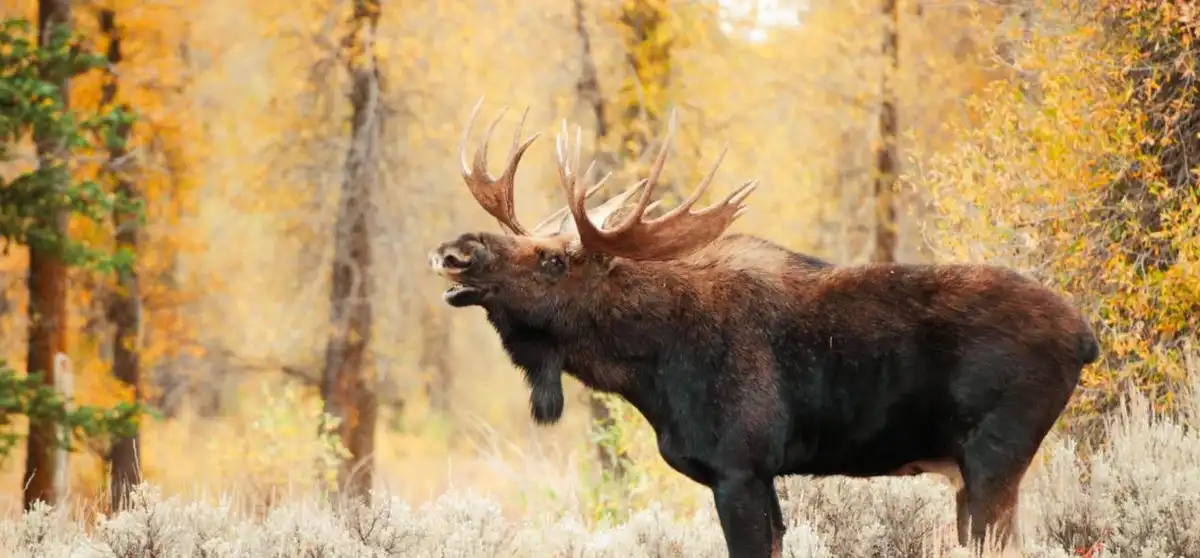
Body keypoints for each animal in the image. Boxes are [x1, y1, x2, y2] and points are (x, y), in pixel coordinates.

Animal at [427, 99, 1099, 557]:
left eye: (552, 260)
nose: (454, 251)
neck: (650, 369)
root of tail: (1087, 338)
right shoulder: (758, 476)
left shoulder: (740, 467)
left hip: (994, 458)